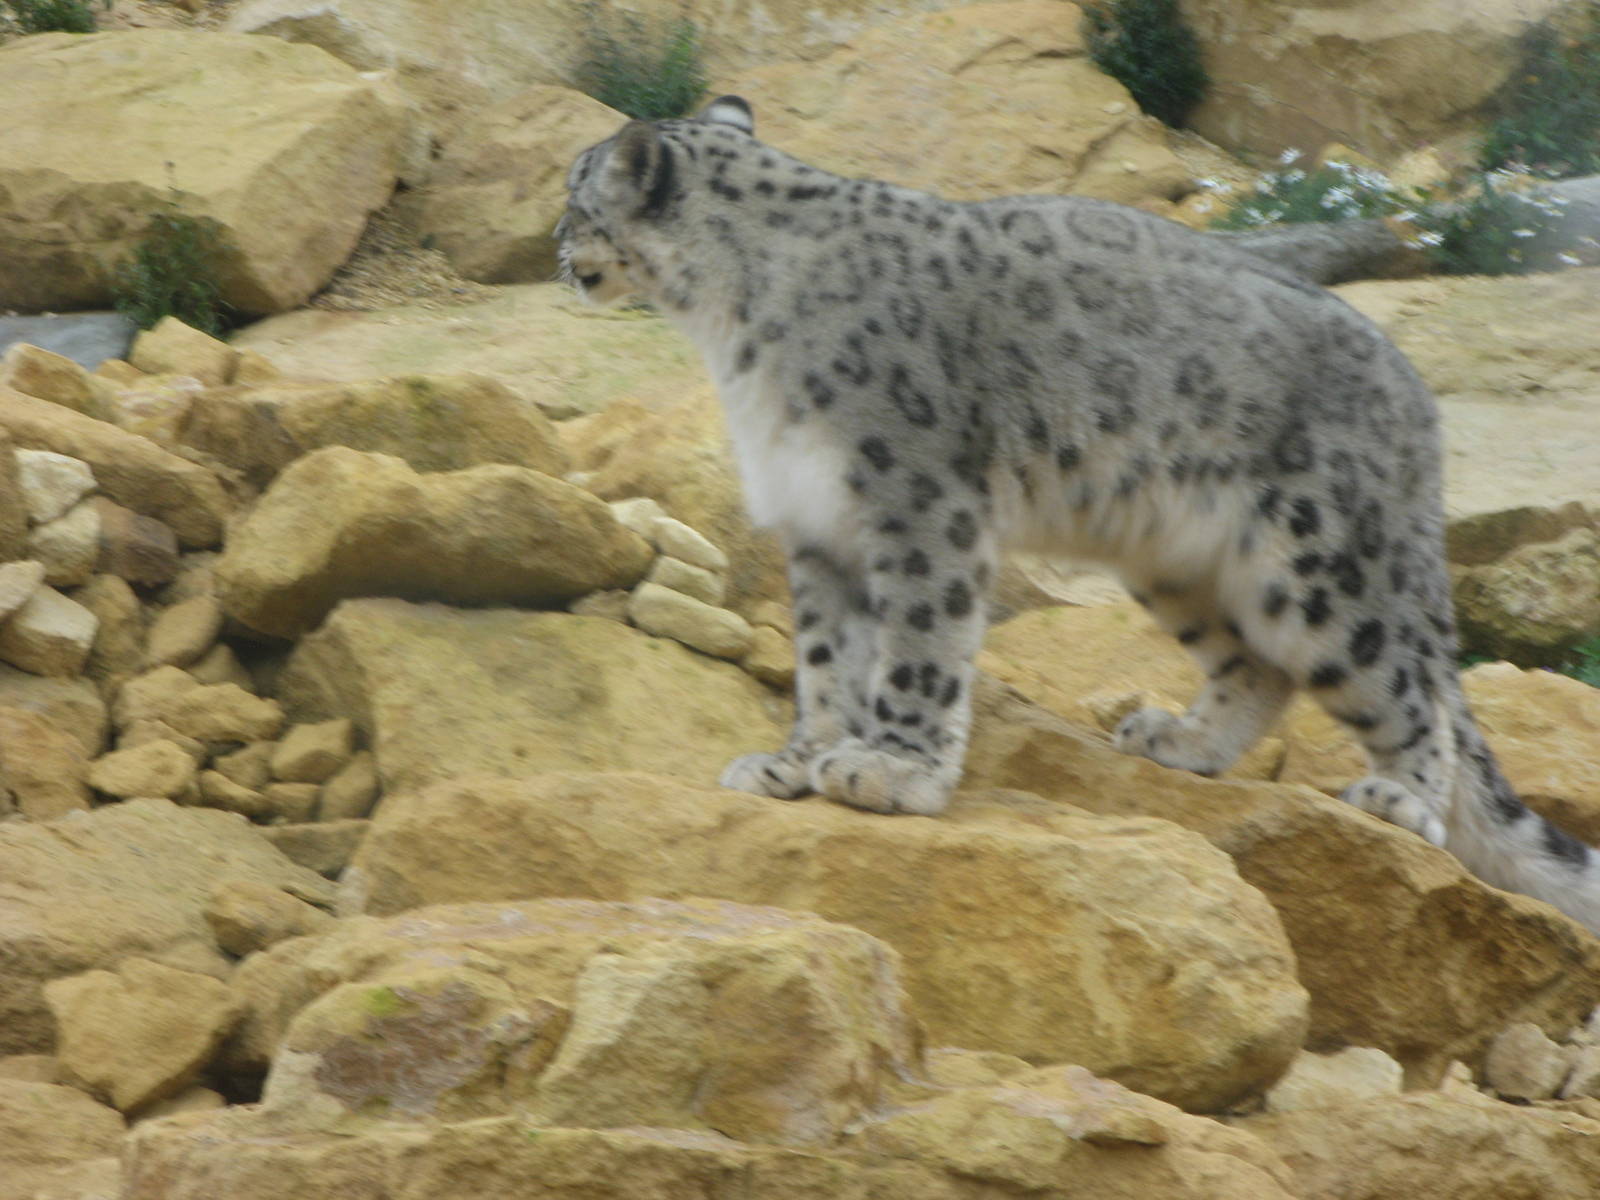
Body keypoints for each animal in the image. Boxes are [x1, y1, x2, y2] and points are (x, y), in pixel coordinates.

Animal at [558, 95, 1600, 931]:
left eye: (574, 197)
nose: (561, 257)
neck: (729, 332)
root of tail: (1418, 399)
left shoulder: (916, 502)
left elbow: (917, 650)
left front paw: (890, 769)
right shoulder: (816, 524)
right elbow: (824, 663)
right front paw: (796, 761)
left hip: (1322, 569)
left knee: (1410, 689)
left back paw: (1399, 798)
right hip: (1178, 563)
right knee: (1259, 668)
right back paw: (1182, 742)